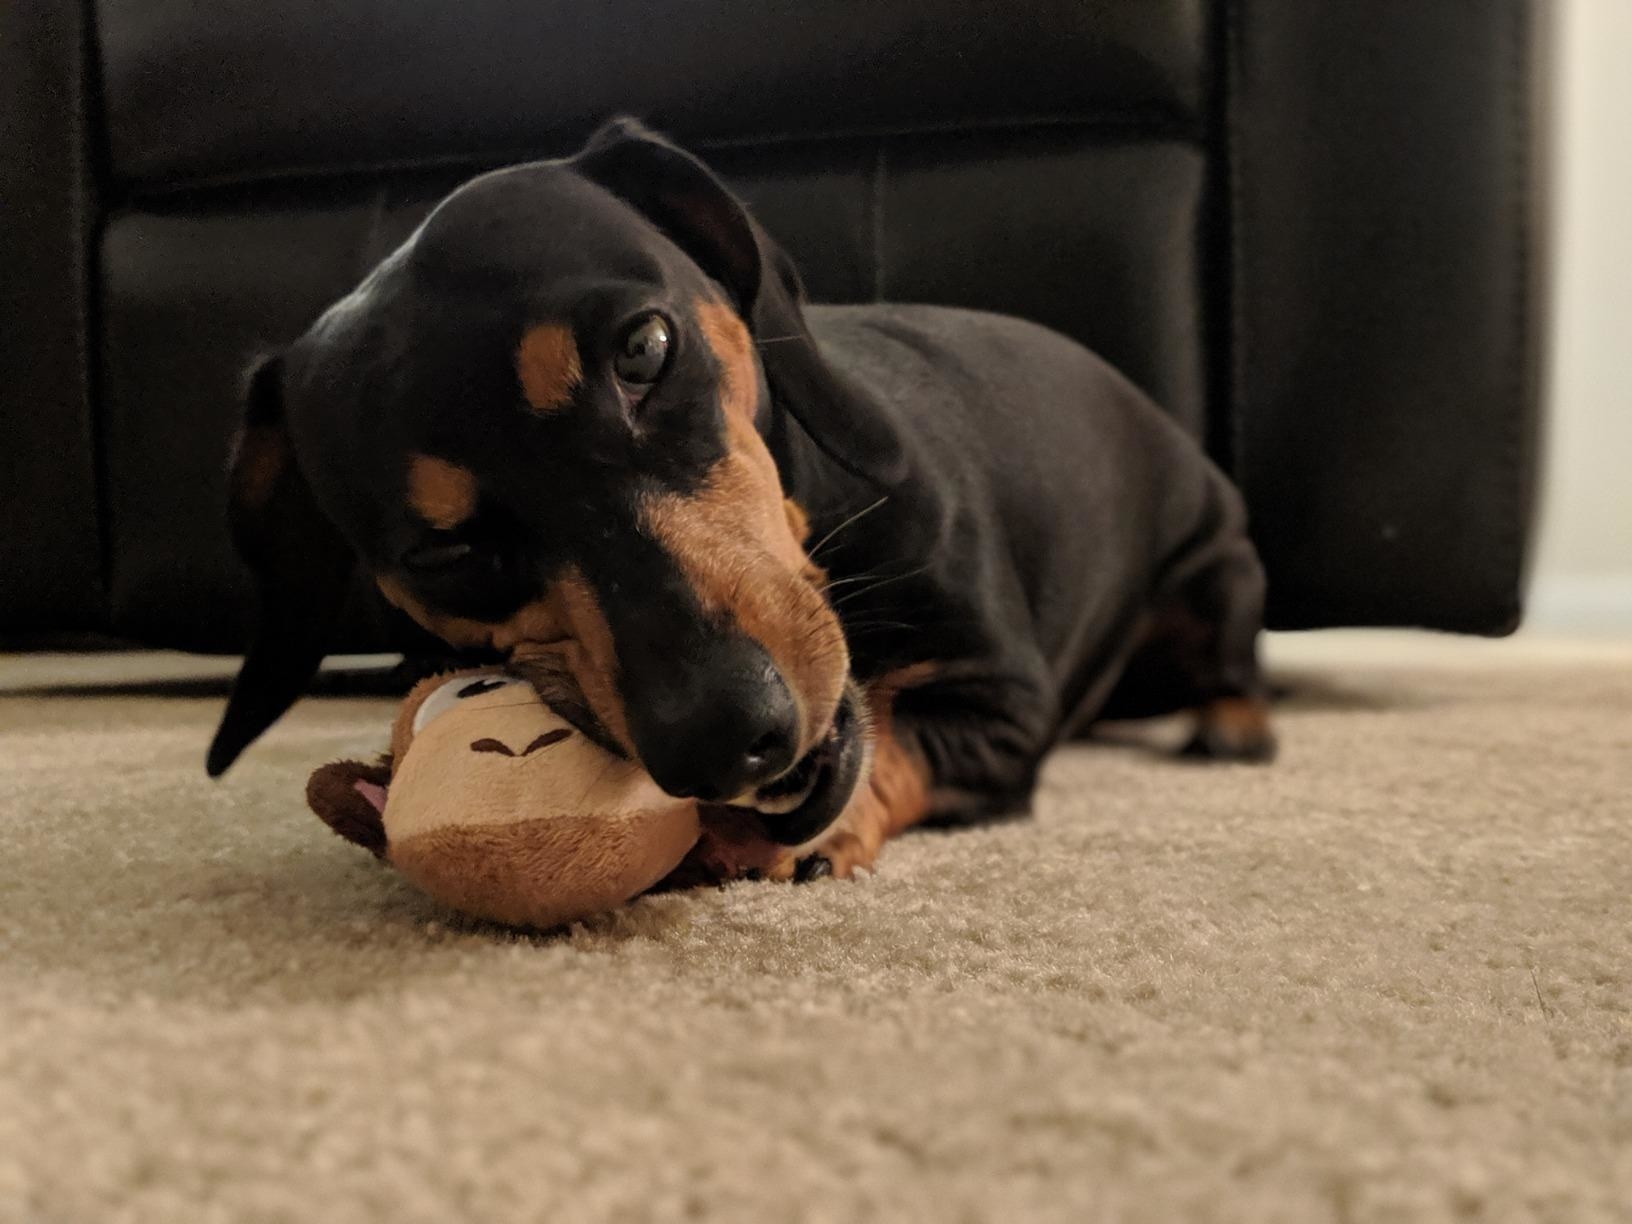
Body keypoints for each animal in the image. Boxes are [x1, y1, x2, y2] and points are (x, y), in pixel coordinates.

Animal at [207, 119, 1272, 887]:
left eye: (644, 348)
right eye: (440, 554)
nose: (725, 741)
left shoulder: (1005, 698)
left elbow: (899, 741)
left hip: (1218, 574)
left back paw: (1234, 723)